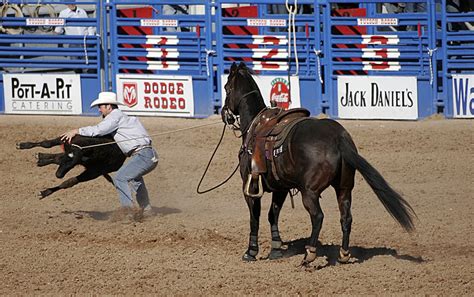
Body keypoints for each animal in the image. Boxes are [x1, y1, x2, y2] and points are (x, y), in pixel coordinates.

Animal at [220, 61, 416, 264]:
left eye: (226, 88)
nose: (224, 114)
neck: (254, 127)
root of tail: (338, 138)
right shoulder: (280, 188)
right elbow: (272, 215)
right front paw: (276, 249)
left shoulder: (250, 186)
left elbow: (255, 217)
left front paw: (250, 252)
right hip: (344, 188)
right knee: (346, 218)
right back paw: (343, 254)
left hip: (310, 192)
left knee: (318, 217)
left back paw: (310, 255)